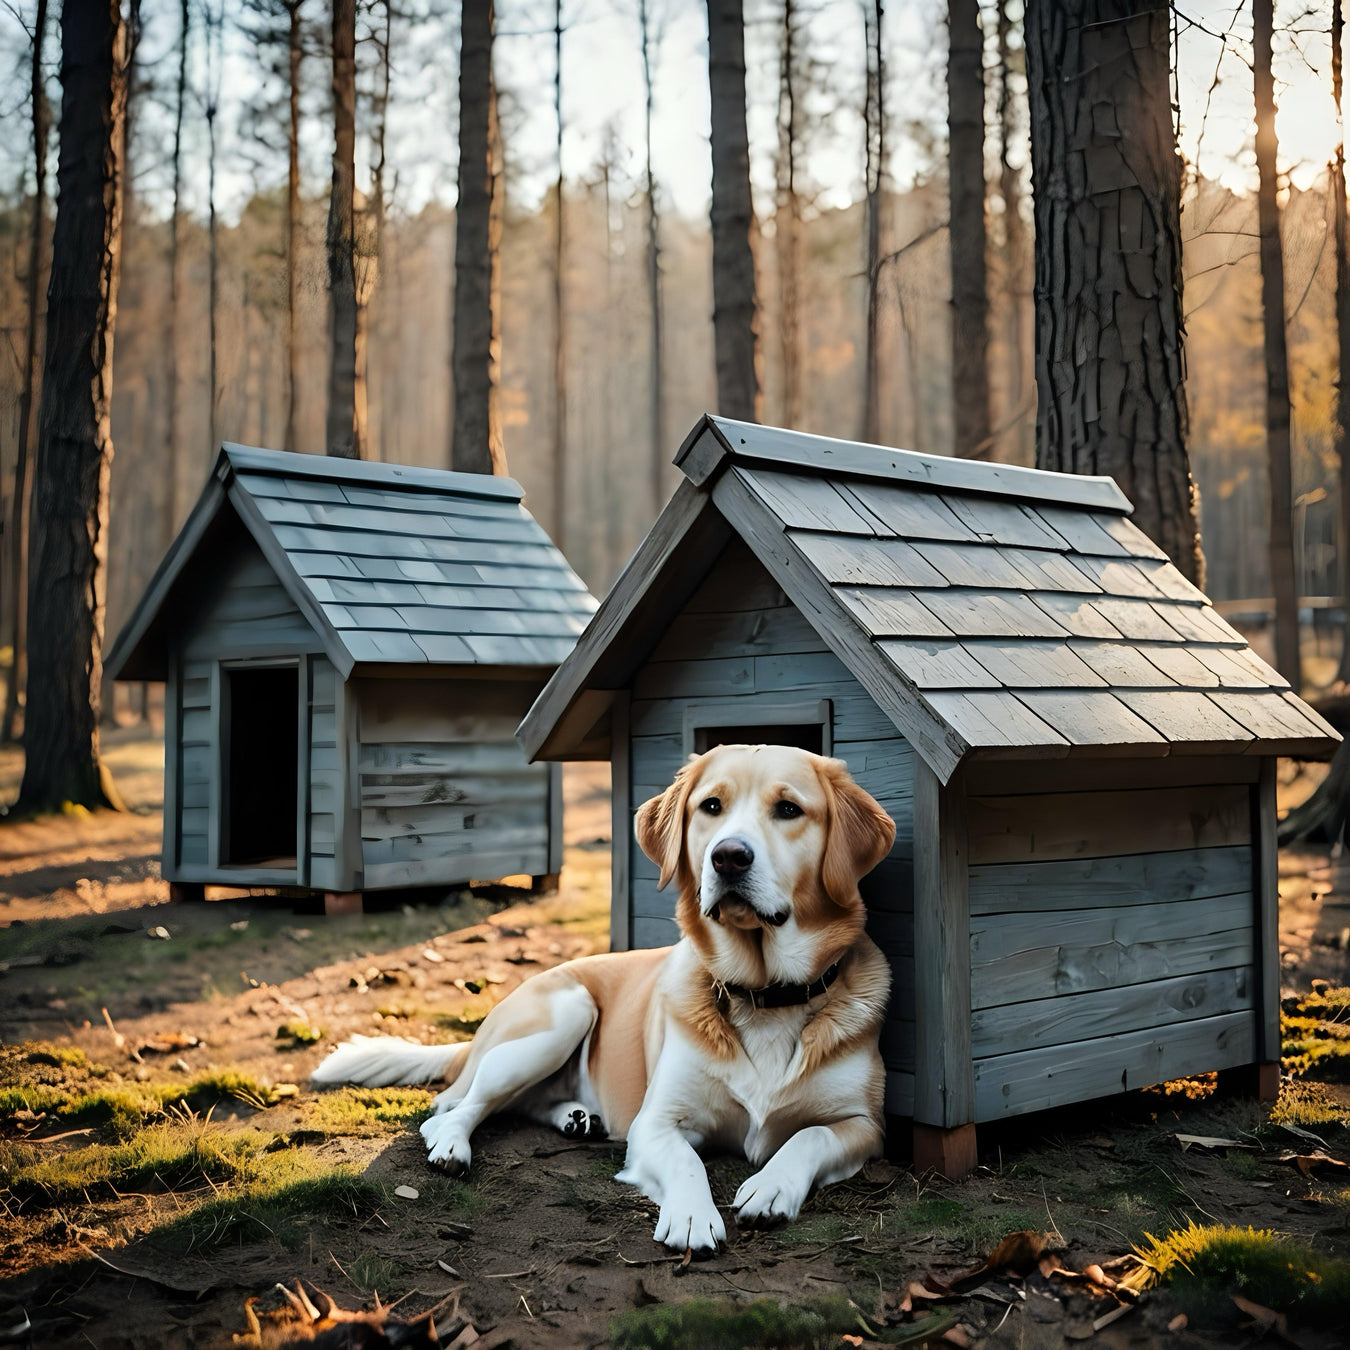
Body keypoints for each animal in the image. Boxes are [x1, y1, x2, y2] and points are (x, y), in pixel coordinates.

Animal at [309, 745, 896, 1247]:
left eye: (789, 809)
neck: (763, 992)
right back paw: (453, 1143)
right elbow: (688, 1162)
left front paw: (772, 1186)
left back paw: (576, 1117)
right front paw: (691, 1216)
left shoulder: (865, 1126)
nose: (728, 856)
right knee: (454, 1107)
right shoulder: (656, 1123)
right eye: (711, 806)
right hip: (564, 1013)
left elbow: (809, 1137)